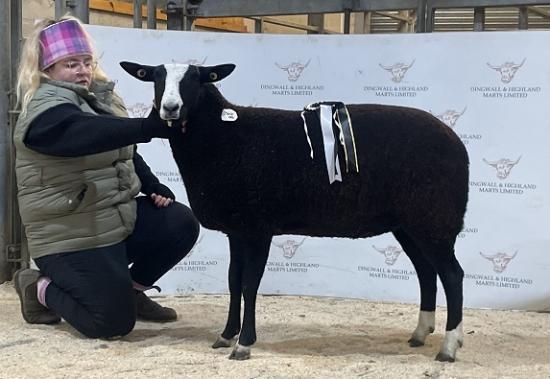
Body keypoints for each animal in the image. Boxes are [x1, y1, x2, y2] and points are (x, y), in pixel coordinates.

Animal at [121, 60, 470, 364]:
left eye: (196, 79)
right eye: (155, 78)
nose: (170, 108)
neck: (225, 137)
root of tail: (456, 141)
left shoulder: (258, 227)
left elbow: (249, 284)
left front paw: (244, 344)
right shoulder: (237, 229)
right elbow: (233, 281)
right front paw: (226, 335)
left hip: (435, 218)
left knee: (452, 276)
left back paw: (449, 346)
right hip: (411, 224)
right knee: (427, 272)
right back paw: (420, 334)